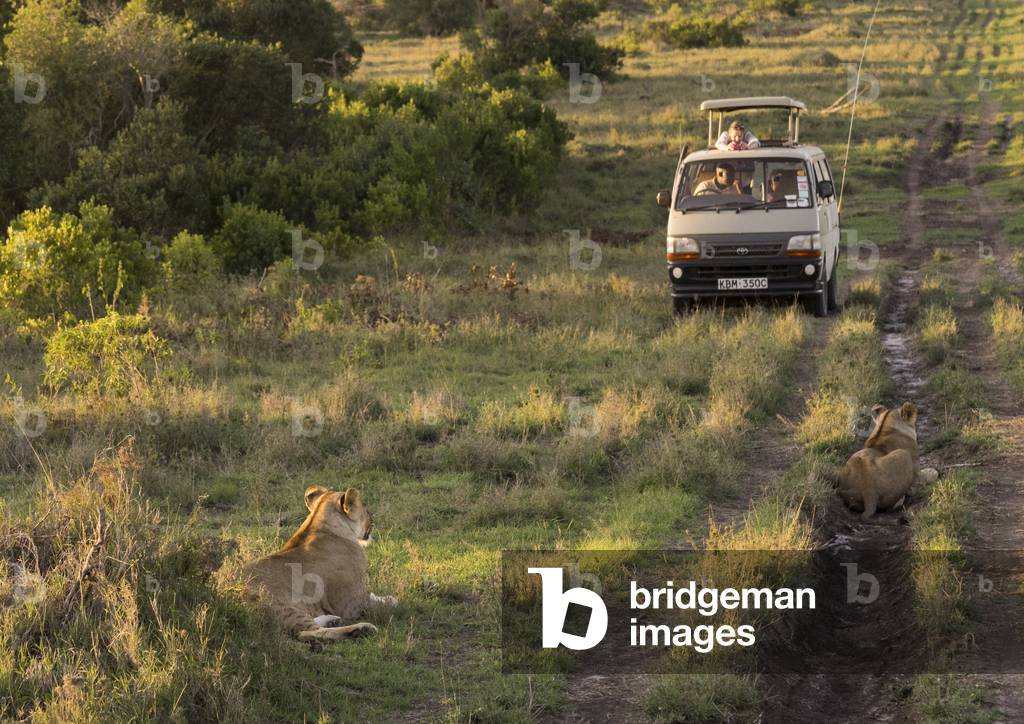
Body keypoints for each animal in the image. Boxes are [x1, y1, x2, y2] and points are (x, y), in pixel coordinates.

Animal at [246, 486, 396, 643]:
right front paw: (388, 600)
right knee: (307, 633)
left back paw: (332, 619)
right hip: (280, 605)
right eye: (364, 509)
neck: (318, 526)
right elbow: (383, 603)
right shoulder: (351, 603)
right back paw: (361, 629)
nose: (372, 518)